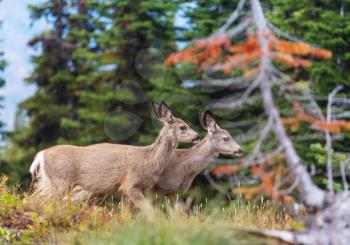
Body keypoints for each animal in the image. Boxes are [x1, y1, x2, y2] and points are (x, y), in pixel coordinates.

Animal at [29, 100, 200, 216]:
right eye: (183, 126)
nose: (197, 136)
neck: (148, 158)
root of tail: (41, 155)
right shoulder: (130, 184)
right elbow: (150, 212)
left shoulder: (122, 190)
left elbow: (125, 214)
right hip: (61, 181)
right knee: (44, 203)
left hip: (48, 182)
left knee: (33, 199)